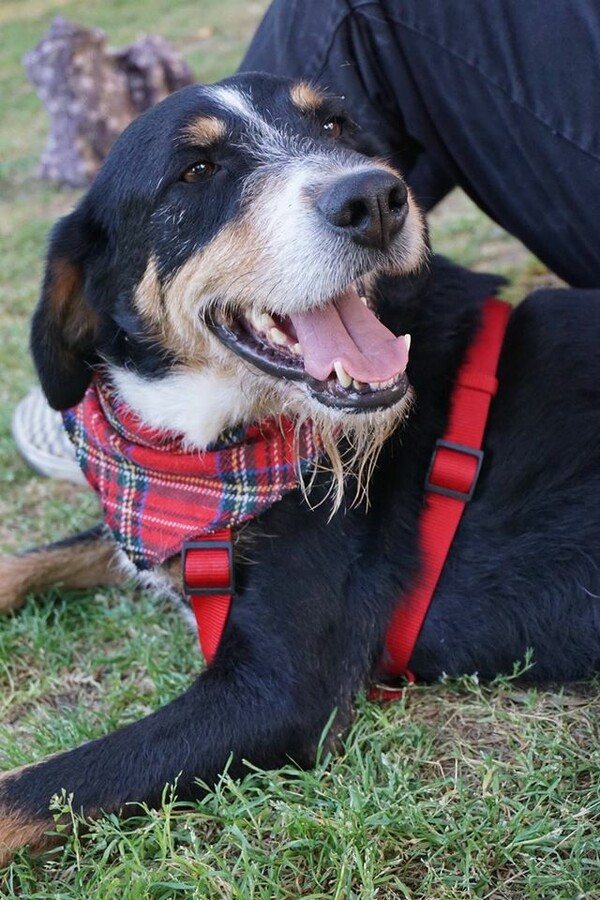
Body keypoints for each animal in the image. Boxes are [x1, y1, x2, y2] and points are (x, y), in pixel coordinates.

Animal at [1, 74, 600, 860]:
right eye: (195, 171)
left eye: (338, 128)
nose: (375, 199)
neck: (210, 450)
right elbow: (28, 560)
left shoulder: (276, 693)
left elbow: (28, 790)